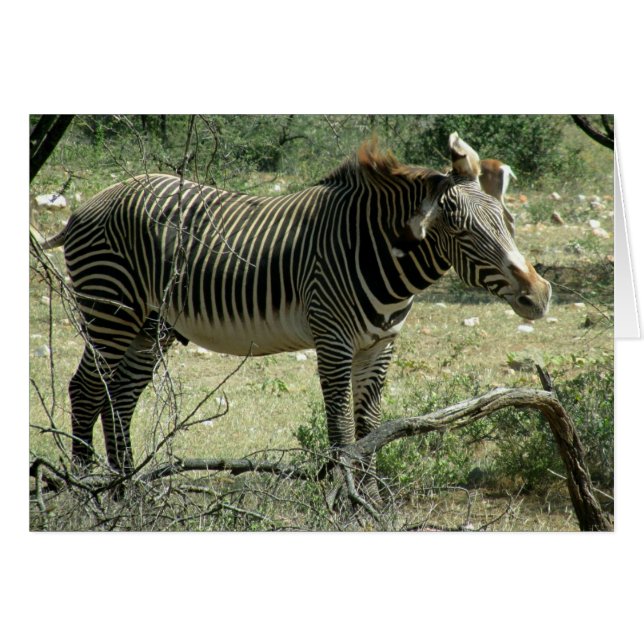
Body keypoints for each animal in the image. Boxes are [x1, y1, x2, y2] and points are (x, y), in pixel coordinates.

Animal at [35, 132, 551, 485]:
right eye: (462, 234)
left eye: (508, 221)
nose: (540, 294)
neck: (374, 251)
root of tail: (90, 204)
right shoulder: (333, 341)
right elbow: (341, 433)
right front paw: (346, 505)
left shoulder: (379, 347)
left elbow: (370, 432)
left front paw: (373, 502)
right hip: (111, 308)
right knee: (87, 390)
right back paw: (90, 491)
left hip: (150, 325)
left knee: (120, 397)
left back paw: (129, 489)